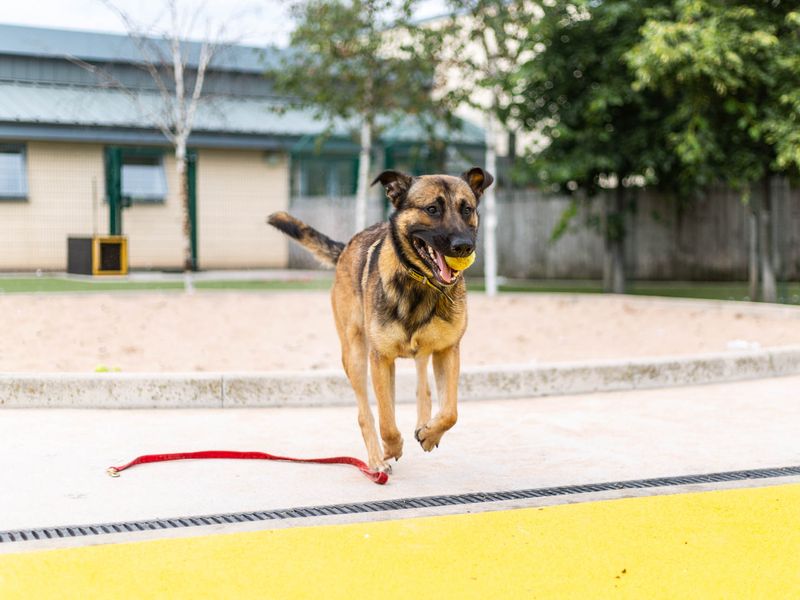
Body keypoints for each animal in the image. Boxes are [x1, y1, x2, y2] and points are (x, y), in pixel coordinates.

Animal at [272, 168, 490, 474]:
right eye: (432, 209)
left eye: (467, 209)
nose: (464, 247)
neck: (420, 284)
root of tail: (347, 247)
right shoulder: (381, 359)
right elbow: (386, 421)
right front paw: (391, 448)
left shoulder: (447, 351)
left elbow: (450, 412)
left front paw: (429, 434)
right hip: (355, 355)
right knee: (366, 413)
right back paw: (376, 459)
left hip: (420, 354)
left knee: (423, 389)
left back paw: (422, 425)